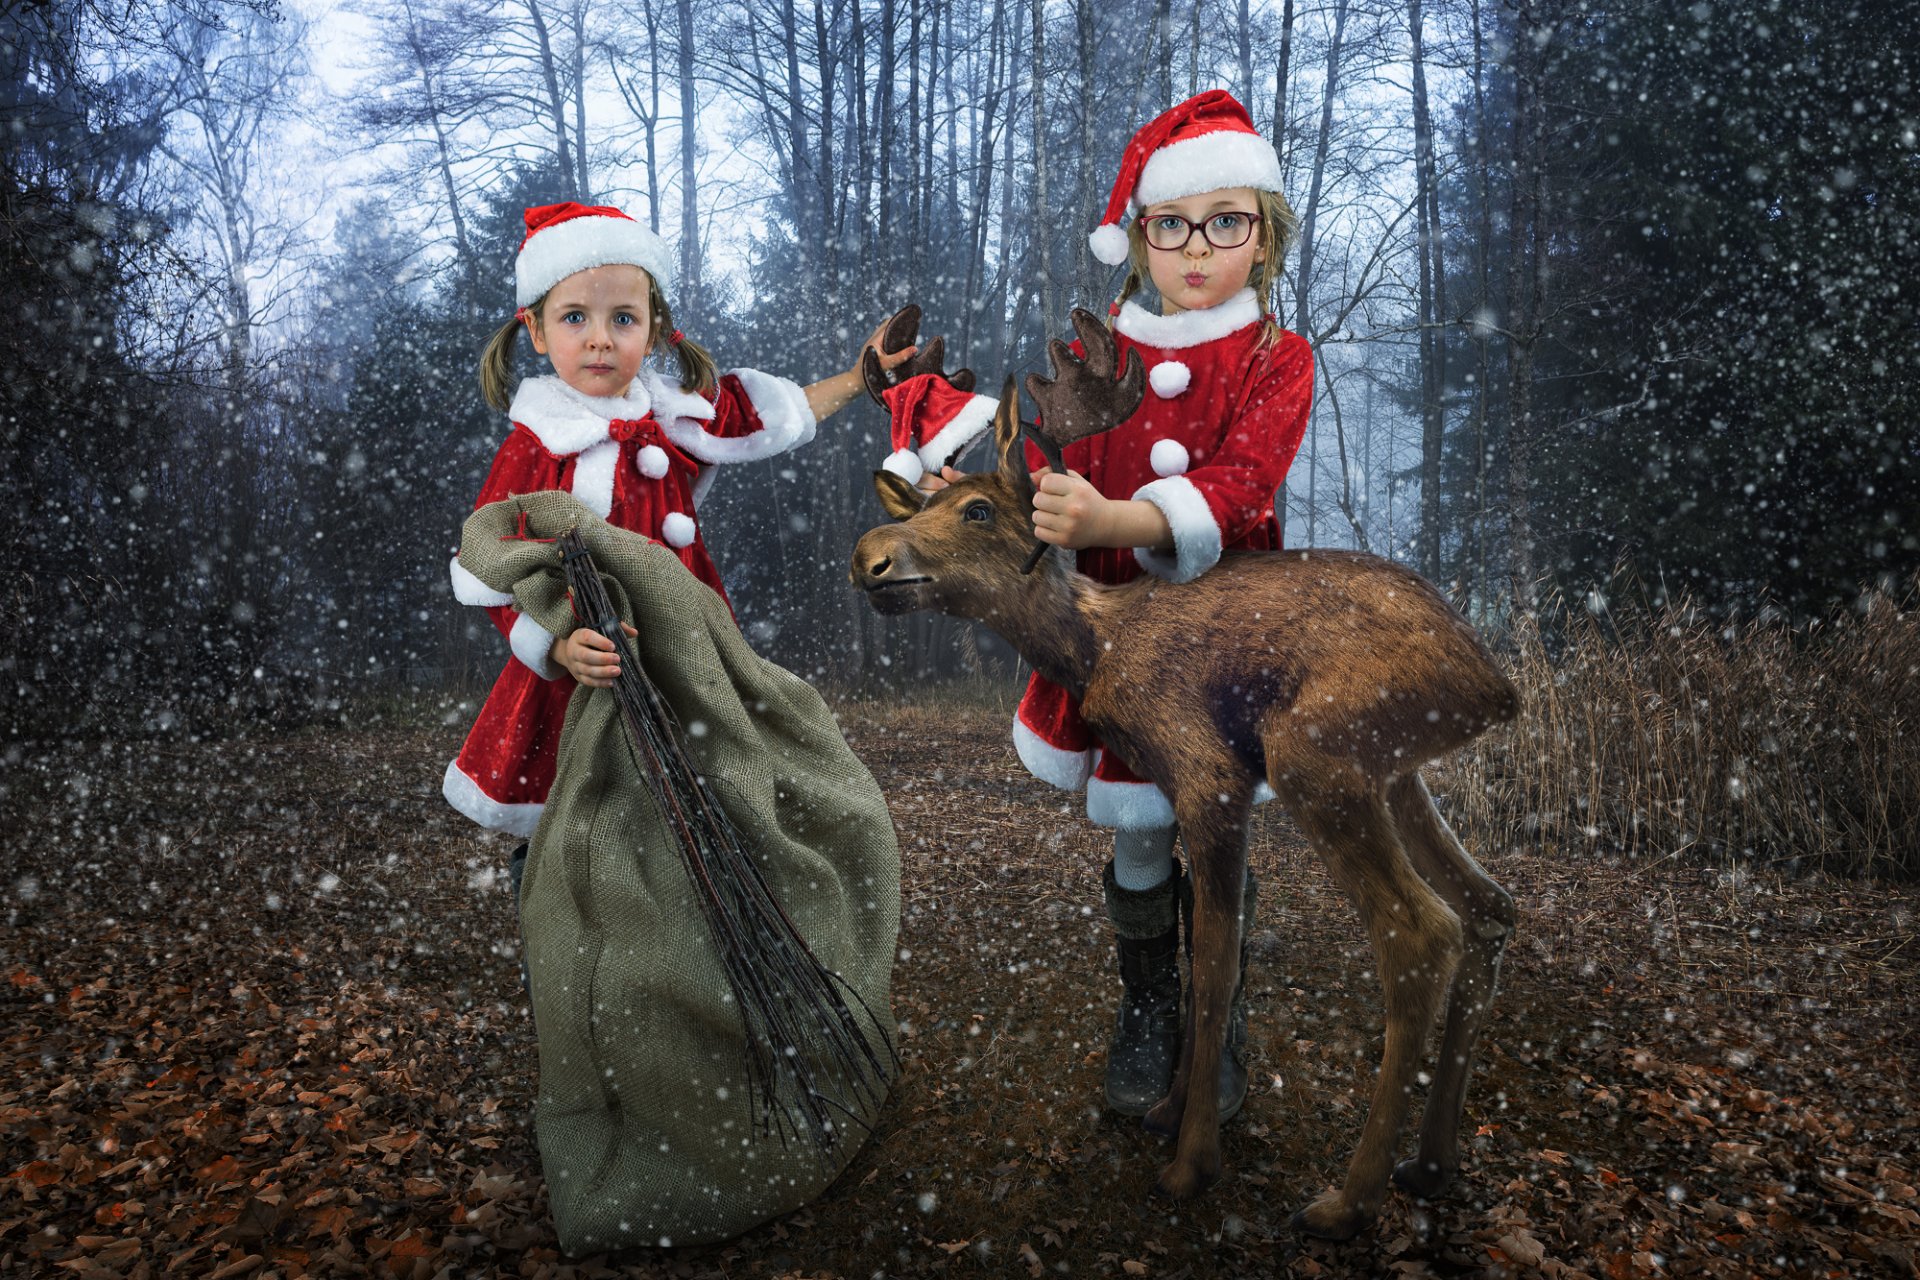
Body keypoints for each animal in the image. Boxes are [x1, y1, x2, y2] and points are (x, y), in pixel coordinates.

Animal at [848, 310, 1520, 1243]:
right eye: (924, 501)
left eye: (978, 508)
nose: (868, 557)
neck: (1097, 648)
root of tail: (1497, 685)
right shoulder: (1179, 784)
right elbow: (1195, 943)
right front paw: (1166, 1111)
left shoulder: (1210, 775)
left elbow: (1217, 960)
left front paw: (1192, 1158)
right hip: (1398, 775)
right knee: (1491, 906)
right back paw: (1432, 1163)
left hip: (1317, 753)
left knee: (1423, 931)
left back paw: (1347, 1200)